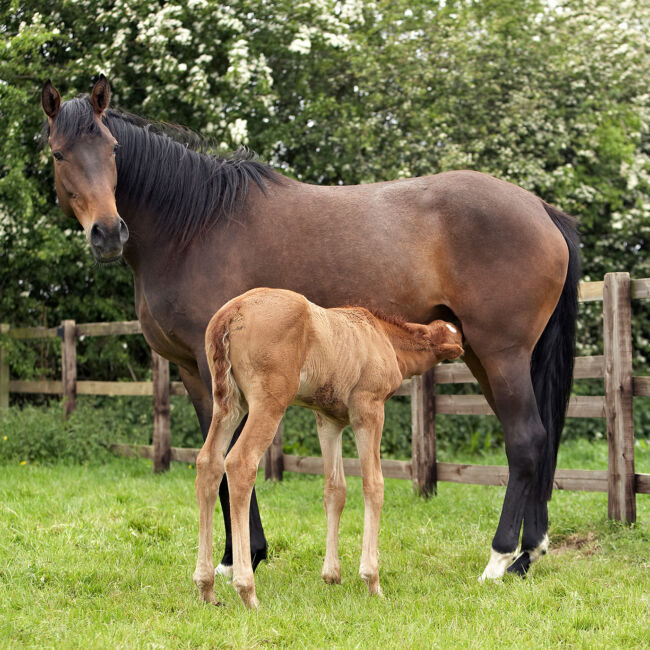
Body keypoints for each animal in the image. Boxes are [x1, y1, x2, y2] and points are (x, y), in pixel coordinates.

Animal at [194, 288, 464, 608]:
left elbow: (335, 489)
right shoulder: (368, 410)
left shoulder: (328, 420)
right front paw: (372, 580)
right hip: (269, 401)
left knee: (208, 462)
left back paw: (206, 586)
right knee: (240, 462)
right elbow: (374, 484)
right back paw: (247, 590)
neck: (383, 337)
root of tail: (229, 314)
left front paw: (332, 575)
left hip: (228, 403)